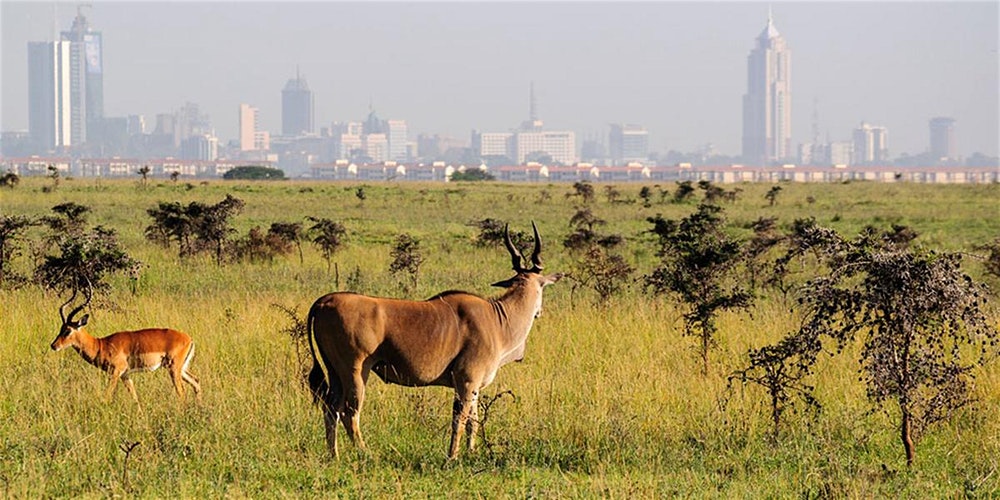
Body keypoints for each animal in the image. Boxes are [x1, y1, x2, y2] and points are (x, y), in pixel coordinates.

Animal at [50, 289, 202, 405]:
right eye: (61, 328)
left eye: (68, 330)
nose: (53, 345)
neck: (101, 345)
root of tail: (189, 339)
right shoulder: (125, 375)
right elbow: (135, 399)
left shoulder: (116, 372)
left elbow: (107, 396)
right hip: (181, 369)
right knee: (196, 381)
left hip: (173, 369)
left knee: (182, 393)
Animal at [307, 222, 562, 460]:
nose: (539, 312)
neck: (498, 319)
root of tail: (324, 301)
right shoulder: (466, 381)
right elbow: (460, 419)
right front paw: (452, 456)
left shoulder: (473, 387)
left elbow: (473, 420)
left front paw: (470, 452)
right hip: (356, 372)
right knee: (349, 412)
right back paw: (366, 453)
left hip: (335, 373)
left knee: (331, 409)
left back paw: (334, 455)